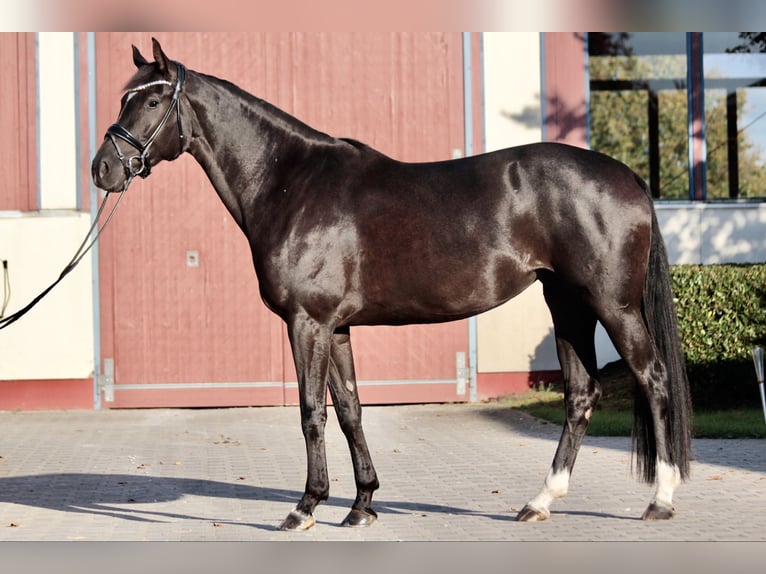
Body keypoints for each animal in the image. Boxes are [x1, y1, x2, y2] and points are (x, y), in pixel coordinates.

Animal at [91, 39, 696, 532]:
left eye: (151, 101)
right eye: (125, 99)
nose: (103, 169)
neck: (290, 184)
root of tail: (628, 177)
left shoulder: (307, 323)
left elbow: (311, 412)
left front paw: (305, 506)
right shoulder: (336, 328)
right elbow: (350, 410)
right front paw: (362, 505)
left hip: (612, 305)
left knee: (653, 378)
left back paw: (662, 500)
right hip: (566, 303)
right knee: (581, 393)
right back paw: (540, 501)